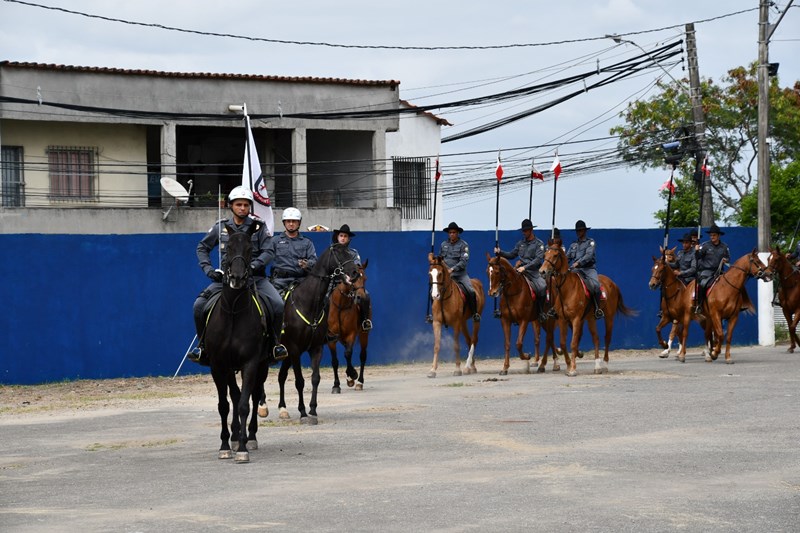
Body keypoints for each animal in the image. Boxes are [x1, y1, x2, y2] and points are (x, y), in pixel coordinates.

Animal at [328, 260, 372, 392]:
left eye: (365, 278)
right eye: (353, 279)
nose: (360, 297)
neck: (341, 305)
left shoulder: (351, 334)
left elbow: (348, 353)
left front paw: (353, 374)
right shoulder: (331, 337)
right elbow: (335, 361)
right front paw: (336, 385)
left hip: (363, 334)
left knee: (362, 356)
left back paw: (359, 382)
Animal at [536, 243, 636, 376]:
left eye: (555, 255)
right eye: (545, 254)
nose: (542, 271)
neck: (567, 289)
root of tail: (612, 283)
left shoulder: (576, 319)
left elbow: (573, 343)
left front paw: (572, 369)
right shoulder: (562, 320)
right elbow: (563, 343)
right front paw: (569, 364)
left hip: (609, 317)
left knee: (607, 338)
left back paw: (605, 364)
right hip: (590, 318)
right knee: (596, 338)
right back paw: (597, 366)